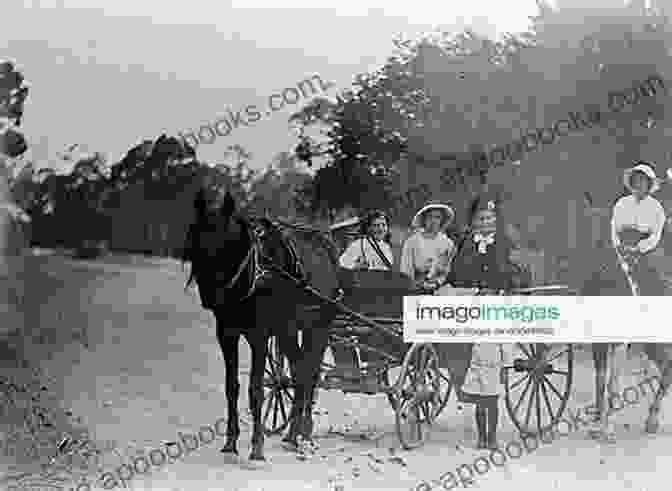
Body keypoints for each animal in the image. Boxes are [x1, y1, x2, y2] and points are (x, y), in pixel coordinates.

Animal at [181, 188, 342, 462]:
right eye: (195, 237)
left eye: (223, 242)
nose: (209, 296)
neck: (254, 272)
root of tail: (326, 245)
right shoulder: (226, 334)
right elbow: (232, 386)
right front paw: (231, 441)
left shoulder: (259, 335)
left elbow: (255, 389)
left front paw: (257, 446)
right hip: (287, 329)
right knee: (299, 371)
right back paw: (292, 434)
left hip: (319, 328)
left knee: (310, 373)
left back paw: (306, 433)